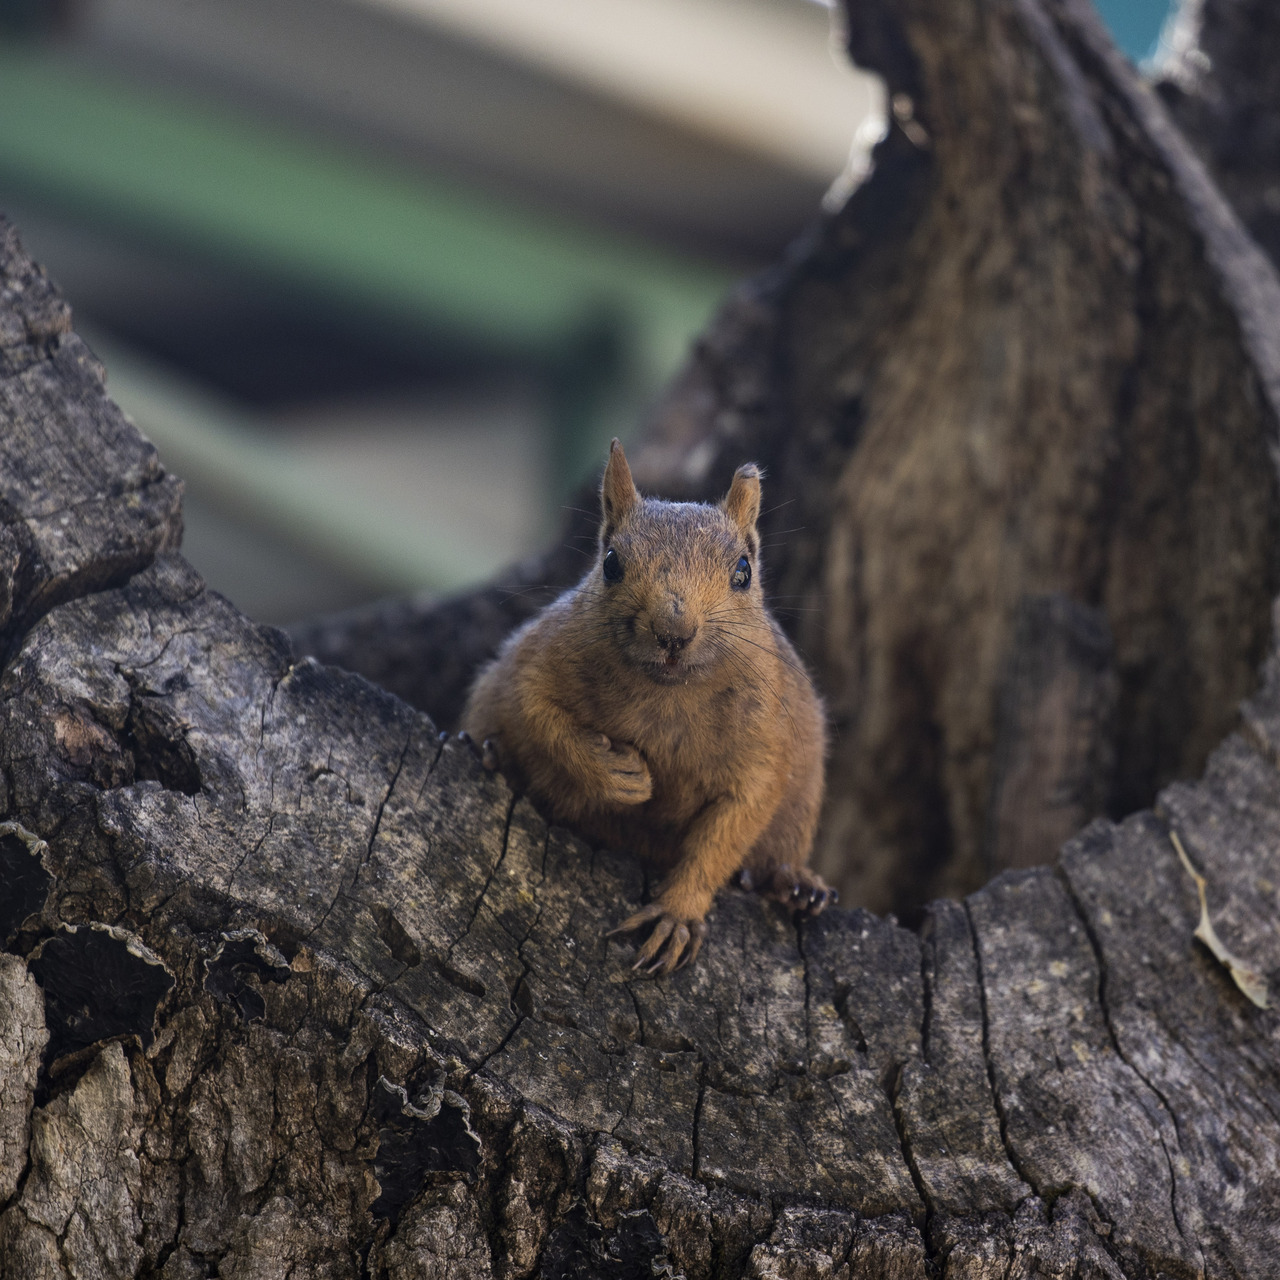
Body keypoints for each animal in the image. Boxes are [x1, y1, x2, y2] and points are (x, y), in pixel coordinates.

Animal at [460, 435, 829, 972]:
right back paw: (491, 754)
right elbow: (539, 714)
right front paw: (618, 775)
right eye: (611, 562)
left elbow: (729, 830)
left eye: (743, 572)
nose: (673, 632)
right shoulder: (537, 662)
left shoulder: (766, 744)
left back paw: (794, 884)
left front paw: (676, 915)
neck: (668, 695)